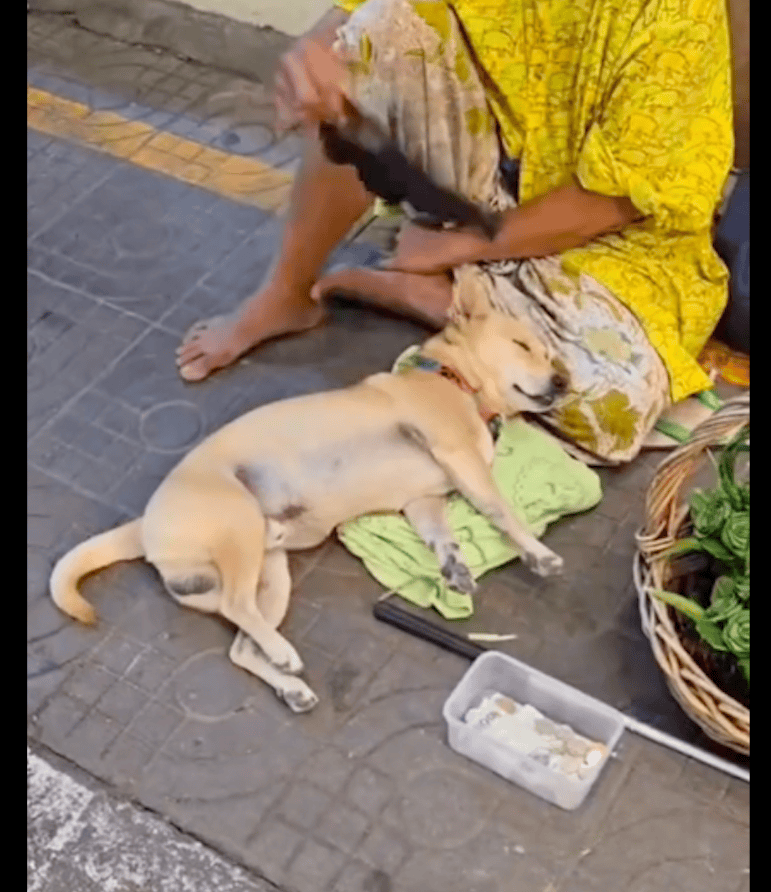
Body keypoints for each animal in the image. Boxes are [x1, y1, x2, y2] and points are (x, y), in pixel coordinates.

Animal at [48, 292, 568, 712]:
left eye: (547, 352)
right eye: (523, 346)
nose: (563, 383)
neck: (453, 379)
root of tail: (142, 524)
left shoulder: (423, 500)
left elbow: (442, 537)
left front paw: (454, 566)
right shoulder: (458, 456)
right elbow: (502, 510)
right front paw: (538, 554)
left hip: (270, 575)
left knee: (241, 643)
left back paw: (290, 683)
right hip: (239, 526)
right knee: (236, 607)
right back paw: (285, 655)